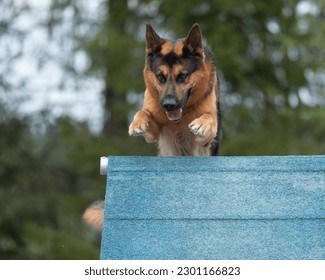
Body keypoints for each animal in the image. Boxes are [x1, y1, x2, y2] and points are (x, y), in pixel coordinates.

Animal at [82, 24, 221, 229]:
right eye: (160, 77)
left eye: (182, 76)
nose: (169, 105)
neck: (181, 117)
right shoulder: (154, 131)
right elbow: (144, 112)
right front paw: (137, 122)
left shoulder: (207, 139)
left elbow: (209, 118)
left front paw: (201, 123)